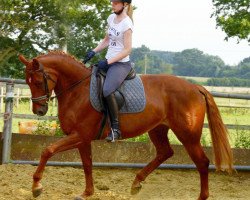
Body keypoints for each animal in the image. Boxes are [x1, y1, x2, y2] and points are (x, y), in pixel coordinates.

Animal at [18, 52, 233, 200]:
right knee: (165, 152)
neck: (78, 90)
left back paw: (201, 196)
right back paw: (136, 183)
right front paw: (87, 193)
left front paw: (36, 187)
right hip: (158, 129)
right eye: (27, 82)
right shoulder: (82, 138)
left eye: (37, 81)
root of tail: (195, 87)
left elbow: (47, 150)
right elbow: (87, 165)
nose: (39, 111)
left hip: (188, 134)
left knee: (202, 162)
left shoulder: (79, 135)